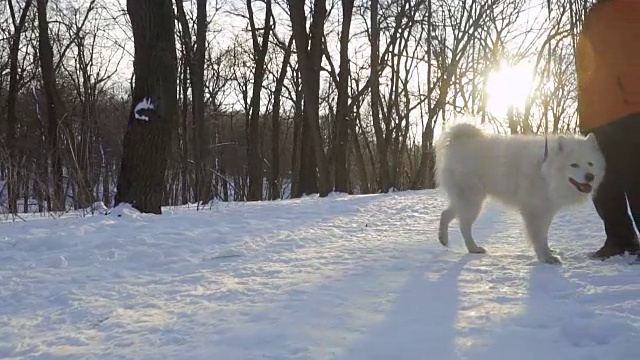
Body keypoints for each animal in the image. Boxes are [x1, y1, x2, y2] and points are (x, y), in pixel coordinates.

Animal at [436, 122, 604, 262]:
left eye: (590, 163)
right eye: (574, 165)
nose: (590, 176)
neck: (544, 171)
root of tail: (458, 141)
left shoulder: (546, 210)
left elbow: (544, 234)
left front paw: (549, 251)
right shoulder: (534, 212)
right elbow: (539, 237)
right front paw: (546, 257)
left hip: (466, 200)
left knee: (446, 214)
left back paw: (443, 239)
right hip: (472, 200)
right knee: (463, 225)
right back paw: (473, 248)